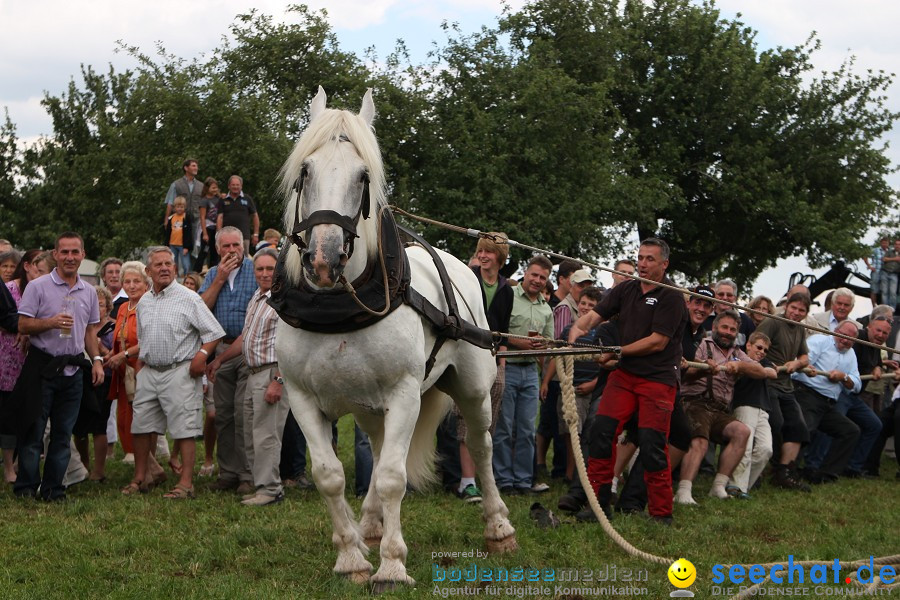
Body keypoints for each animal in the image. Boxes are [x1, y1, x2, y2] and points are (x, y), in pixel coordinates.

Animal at [270, 86, 516, 588]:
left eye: (364, 175)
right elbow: (330, 474)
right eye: (305, 170)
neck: (337, 309)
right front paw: (352, 556)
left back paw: (498, 526)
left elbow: (391, 478)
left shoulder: (405, 392)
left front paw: (392, 564)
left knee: (479, 446)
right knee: (381, 447)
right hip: (369, 407)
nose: (323, 261)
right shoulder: (301, 396)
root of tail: (463, 266)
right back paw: (370, 525)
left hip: (473, 388)